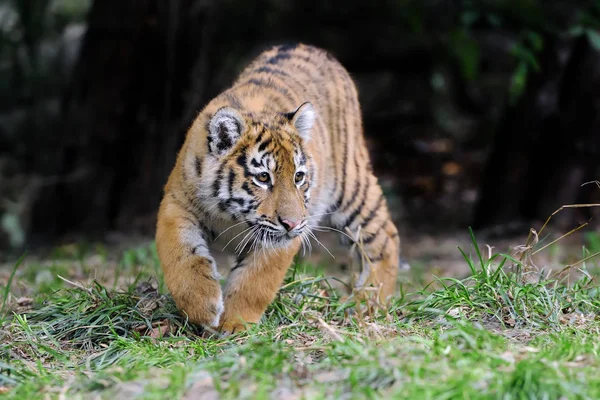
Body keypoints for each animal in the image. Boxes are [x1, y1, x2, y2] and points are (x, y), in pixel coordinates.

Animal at [155, 42, 400, 332]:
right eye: (263, 178)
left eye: (298, 177)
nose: (291, 223)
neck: (233, 216)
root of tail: (310, 47)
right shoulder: (177, 202)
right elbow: (181, 256)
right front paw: (202, 307)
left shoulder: (282, 236)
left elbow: (256, 281)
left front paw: (234, 324)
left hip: (350, 186)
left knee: (385, 236)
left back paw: (368, 302)